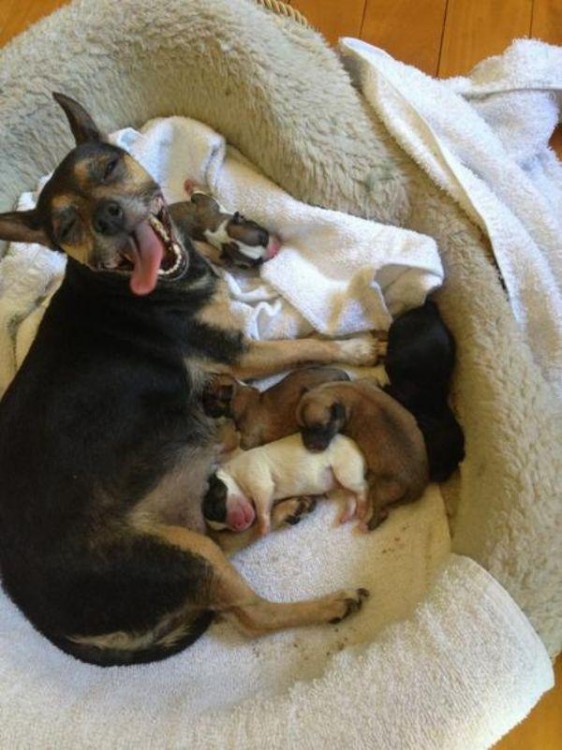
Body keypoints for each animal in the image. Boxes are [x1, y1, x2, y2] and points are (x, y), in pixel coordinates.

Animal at [201, 432, 368, 536]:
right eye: (224, 530)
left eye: (215, 508)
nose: (239, 527)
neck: (233, 475)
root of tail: (355, 445)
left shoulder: (258, 480)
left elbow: (261, 509)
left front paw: (263, 529)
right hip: (341, 485)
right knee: (350, 497)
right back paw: (346, 515)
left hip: (346, 471)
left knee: (363, 488)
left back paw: (362, 510)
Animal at [296, 378, 426, 532]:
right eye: (300, 427)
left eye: (320, 428)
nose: (309, 446)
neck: (338, 391)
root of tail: (417, 486)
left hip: (381, 490)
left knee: (380, 512)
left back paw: (366, 526)